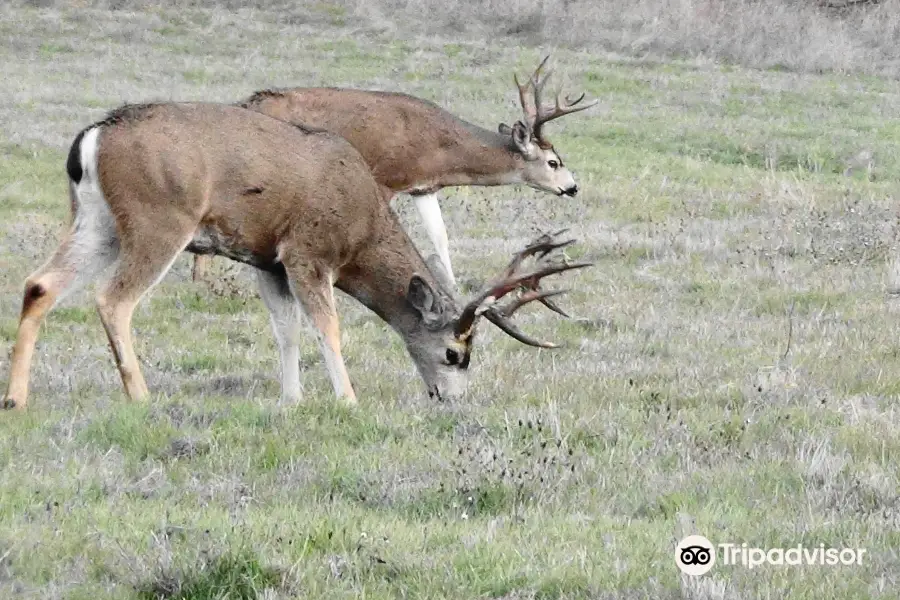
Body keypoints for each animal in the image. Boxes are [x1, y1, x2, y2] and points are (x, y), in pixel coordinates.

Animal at [1, 102, 592, 412]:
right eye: (454, 353)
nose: (448, 400)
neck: (361, 227)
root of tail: (92, 137)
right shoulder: (308, 252)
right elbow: (327, 326)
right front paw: (348, 400)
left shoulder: (266, 259)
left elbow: (285, 330)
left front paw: (292, 399)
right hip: (159, 219)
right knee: (113, 301)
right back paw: (141, 396)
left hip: (97, 222)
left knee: (40, 284)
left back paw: (16, 399)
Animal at [190, 56, 596, 290]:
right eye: (554, 162)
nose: (573, 187)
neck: (437, 144)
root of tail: (247, 102)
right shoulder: (385, 177)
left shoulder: (423, 188)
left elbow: (440, 237)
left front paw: (451, 289)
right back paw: (200, 280)